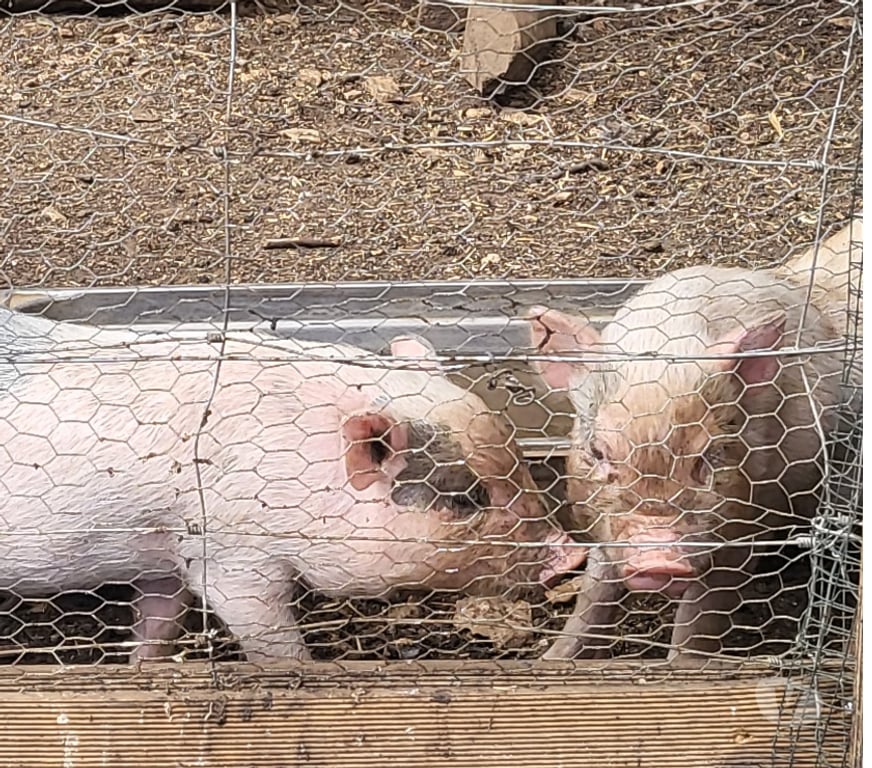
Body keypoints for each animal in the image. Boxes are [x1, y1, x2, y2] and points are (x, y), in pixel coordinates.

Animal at [0, 307, 586, 662]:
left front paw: (145, 669)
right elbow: (269, 637)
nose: (572, 553)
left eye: (518, 457)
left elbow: (160, 621)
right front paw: (303, 669)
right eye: (465, 497)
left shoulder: (165, 550)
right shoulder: (230, 555)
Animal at [524, 216, 862, 662]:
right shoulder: (603, 522)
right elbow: (594, 595)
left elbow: (700, 616)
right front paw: (551, 660)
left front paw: (679, 667)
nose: (657, 559)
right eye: (597, 450)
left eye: (710, 455)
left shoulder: (746, 524)